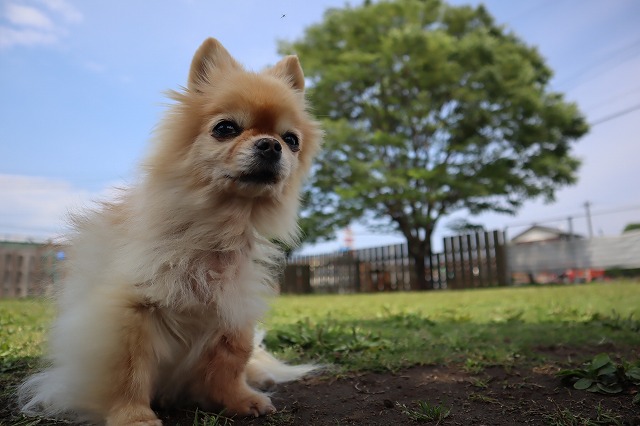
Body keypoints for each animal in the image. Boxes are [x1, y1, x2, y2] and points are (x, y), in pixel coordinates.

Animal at [18, 37, 321, 425]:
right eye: (225, 128)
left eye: (291, 139)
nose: (271, 144)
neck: (214, 230)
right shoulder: (132, 311)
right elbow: (129, 370)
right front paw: (132, 416)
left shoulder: (232, 309)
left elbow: (229, 362)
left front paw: (239, 399)